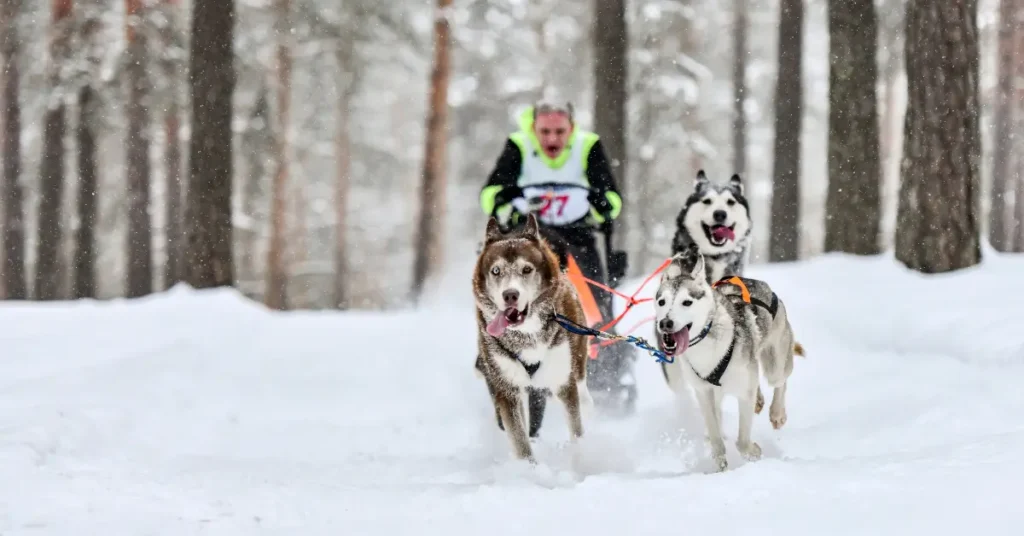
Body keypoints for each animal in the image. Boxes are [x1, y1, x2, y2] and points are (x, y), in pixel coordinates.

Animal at [473, 213, 593, 461]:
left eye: (527, 270)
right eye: (496, 271)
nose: (510, 295)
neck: (526, 336)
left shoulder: (564, 383)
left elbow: (576, 429)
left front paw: (581, 457)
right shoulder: (507, 390)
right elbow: (521, 444)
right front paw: (531, 469)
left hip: (576, 363)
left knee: (582, 390)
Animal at [651, 244, 802, 471]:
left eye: (687, 302)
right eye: (662, 302)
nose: (665, 323)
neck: (707, 345)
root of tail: (760, 284)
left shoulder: (744, 393)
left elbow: (742, 441)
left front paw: (753, 452)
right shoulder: (704, 393)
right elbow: (715, 437)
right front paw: (720, 463)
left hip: (775, 364)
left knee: (780, 383)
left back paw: (777, 413)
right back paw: (760, 401)